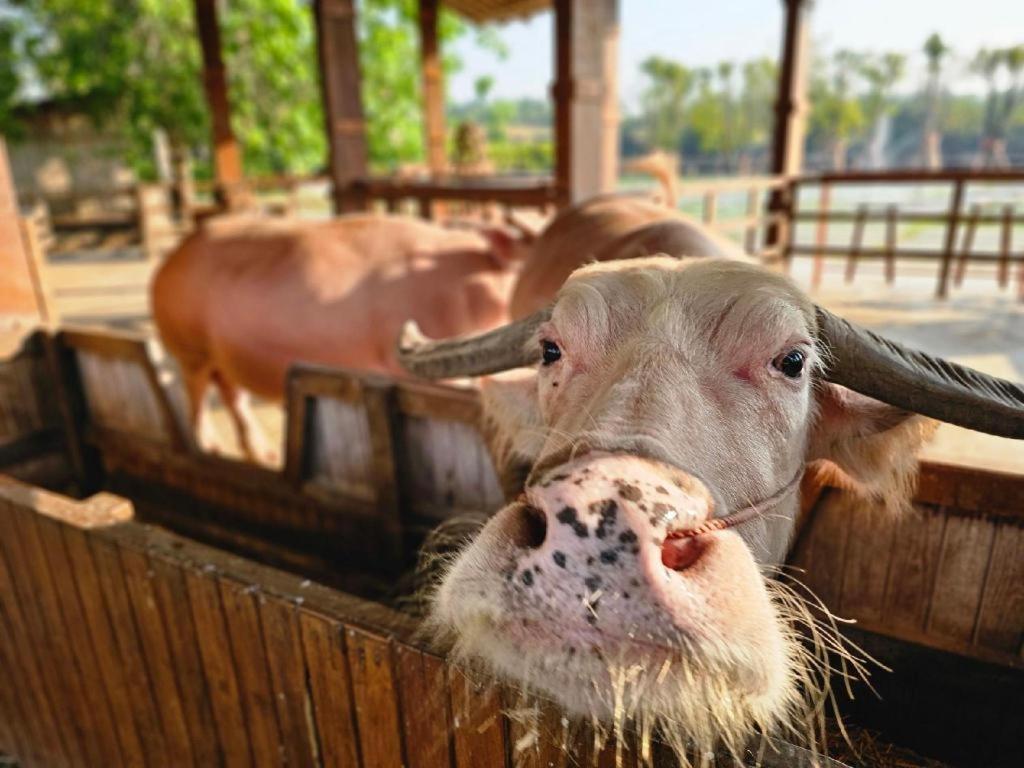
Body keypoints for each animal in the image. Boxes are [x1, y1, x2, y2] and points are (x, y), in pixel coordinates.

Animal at [151, 211, 528, 462]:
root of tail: (169, 259)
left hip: (222, 354)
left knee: (232, 396)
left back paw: (266, 456)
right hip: (188, 346)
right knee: (197, 396)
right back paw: (209, 450)